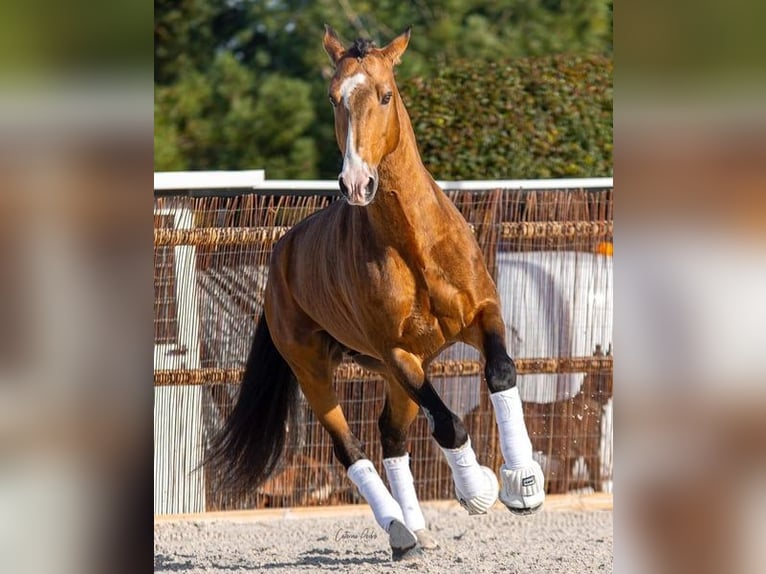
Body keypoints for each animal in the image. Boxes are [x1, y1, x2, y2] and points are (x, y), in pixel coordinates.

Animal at [208, 27, 544, 564]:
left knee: (392, 437)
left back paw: (418, 531)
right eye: (333, 98)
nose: (356, 182)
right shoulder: (398, 353)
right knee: (351, 447)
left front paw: (523, 485)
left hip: (396, 374)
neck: (415, 243)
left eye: (385, 95)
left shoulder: (479, 317)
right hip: (318, 370)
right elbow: (448, 424)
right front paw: (478, 491)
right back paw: (400, 531)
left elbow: (501, 372)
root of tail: (281, 255)